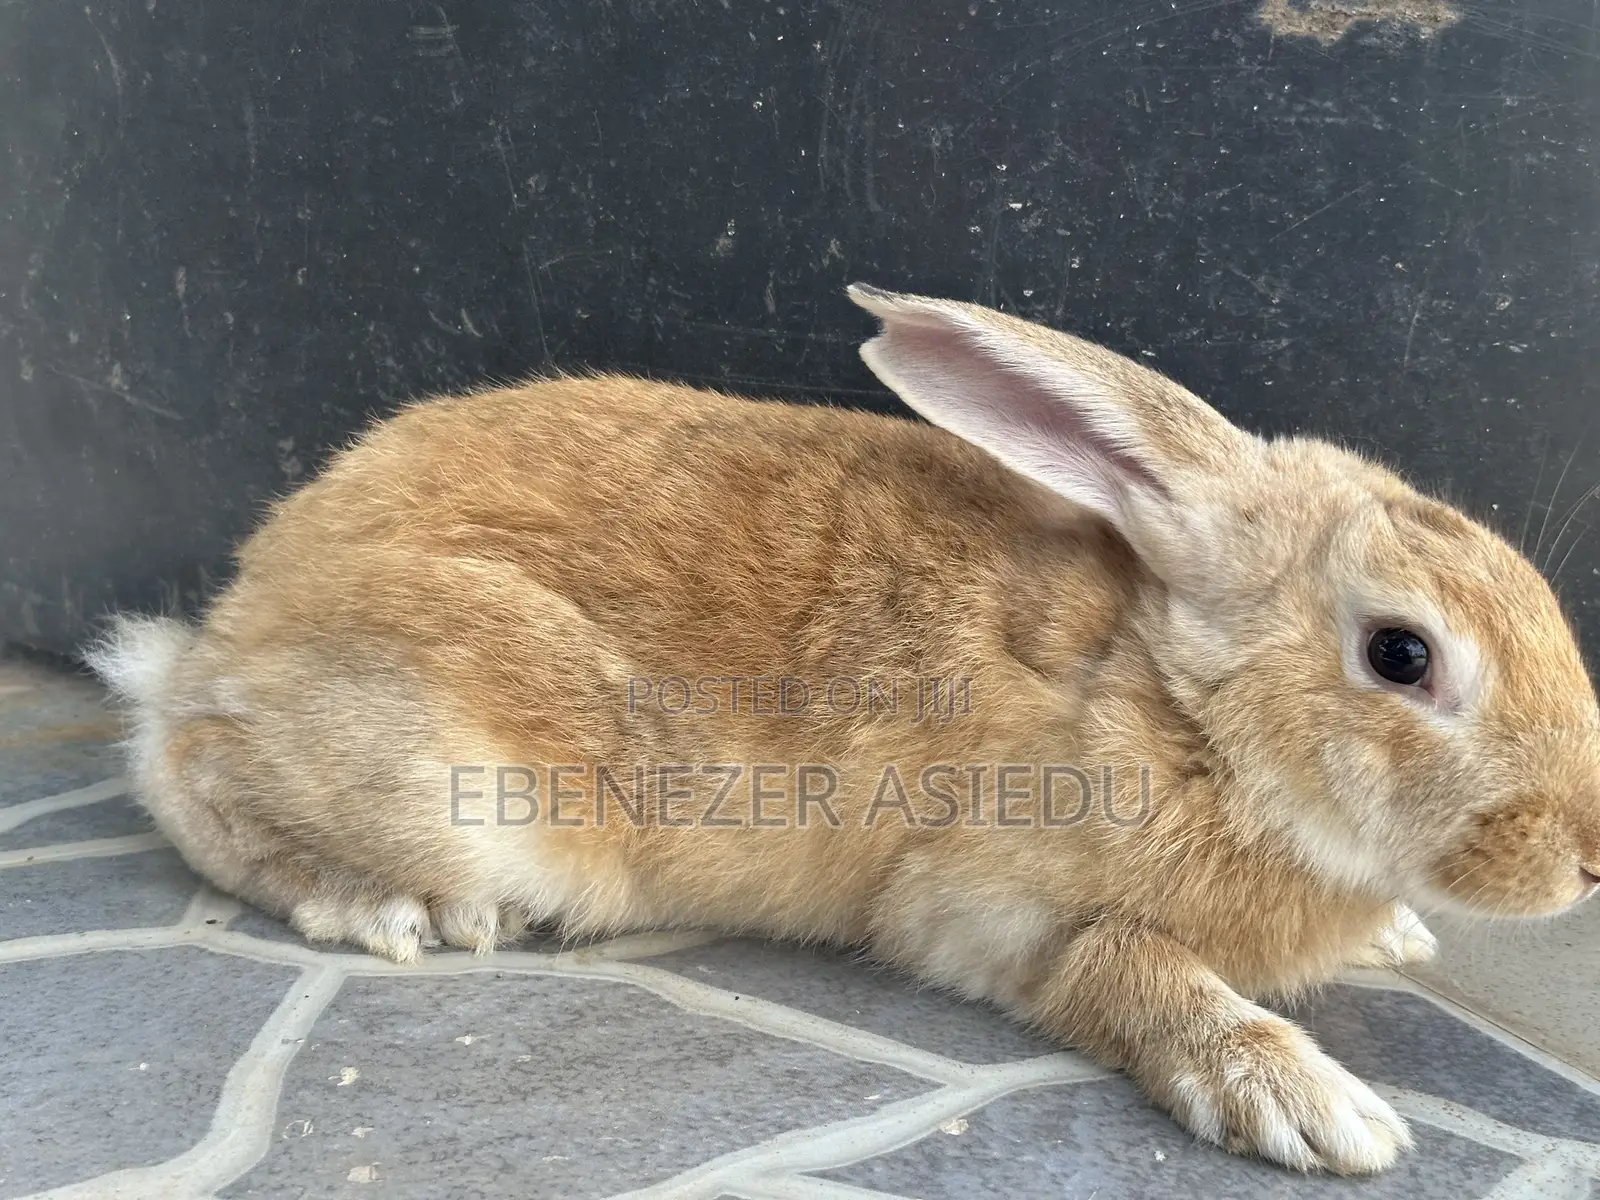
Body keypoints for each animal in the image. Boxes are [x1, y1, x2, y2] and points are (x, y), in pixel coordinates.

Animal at [87, 284, 1600, 1175]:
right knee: (183, 774)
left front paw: (1397, 942)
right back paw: (393, 911)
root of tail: (228, 628)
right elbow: (1135, 974)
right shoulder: (993, 906)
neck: (1181, 709)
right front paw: (1316, 1108)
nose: (1590, 857)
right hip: (461, 788)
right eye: (1401, 654)